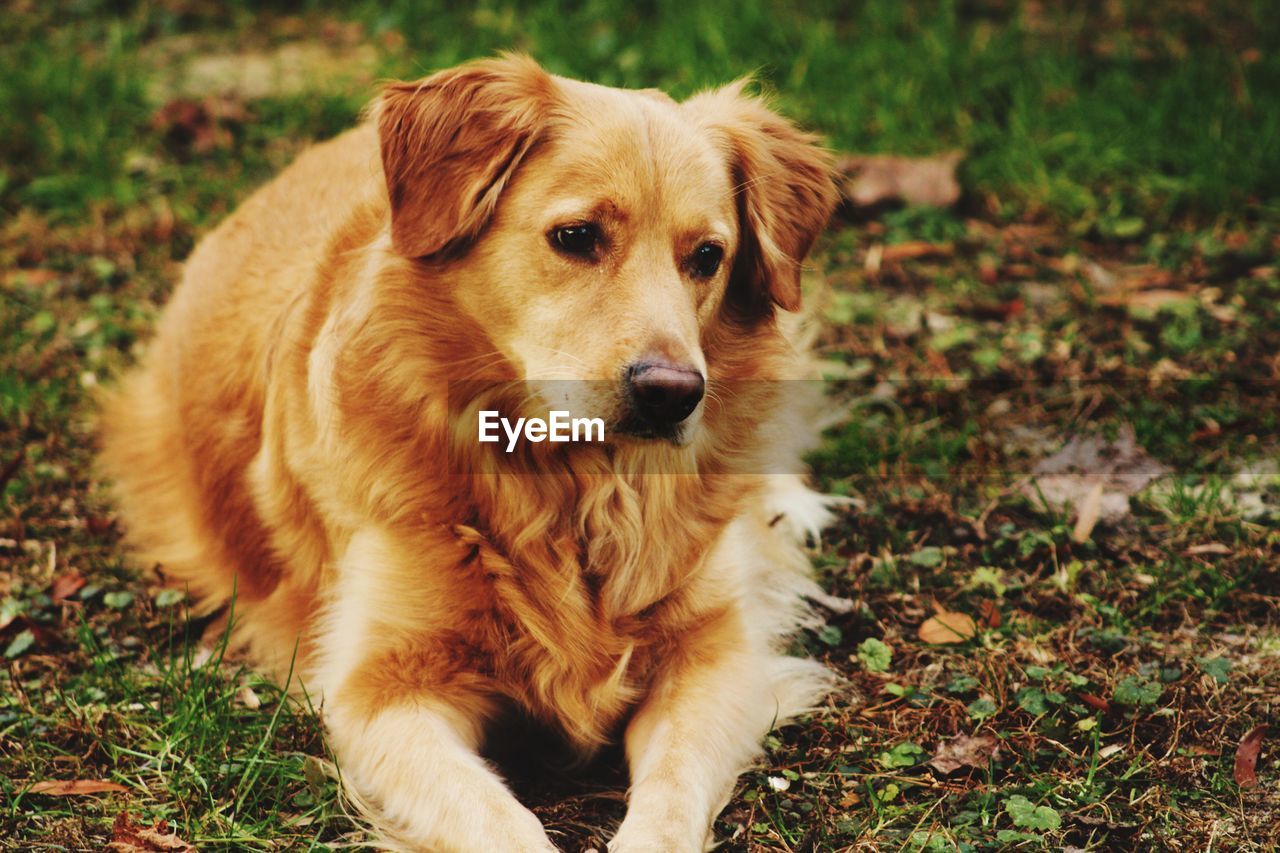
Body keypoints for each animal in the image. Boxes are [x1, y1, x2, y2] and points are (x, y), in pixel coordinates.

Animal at [99, 54, 839, 850]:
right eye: (576, 236)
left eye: (707, 256)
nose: (673, 394)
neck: (569, 489)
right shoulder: (382, 689)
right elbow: (498, 820)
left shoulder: (715, 652)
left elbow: (670, 798)